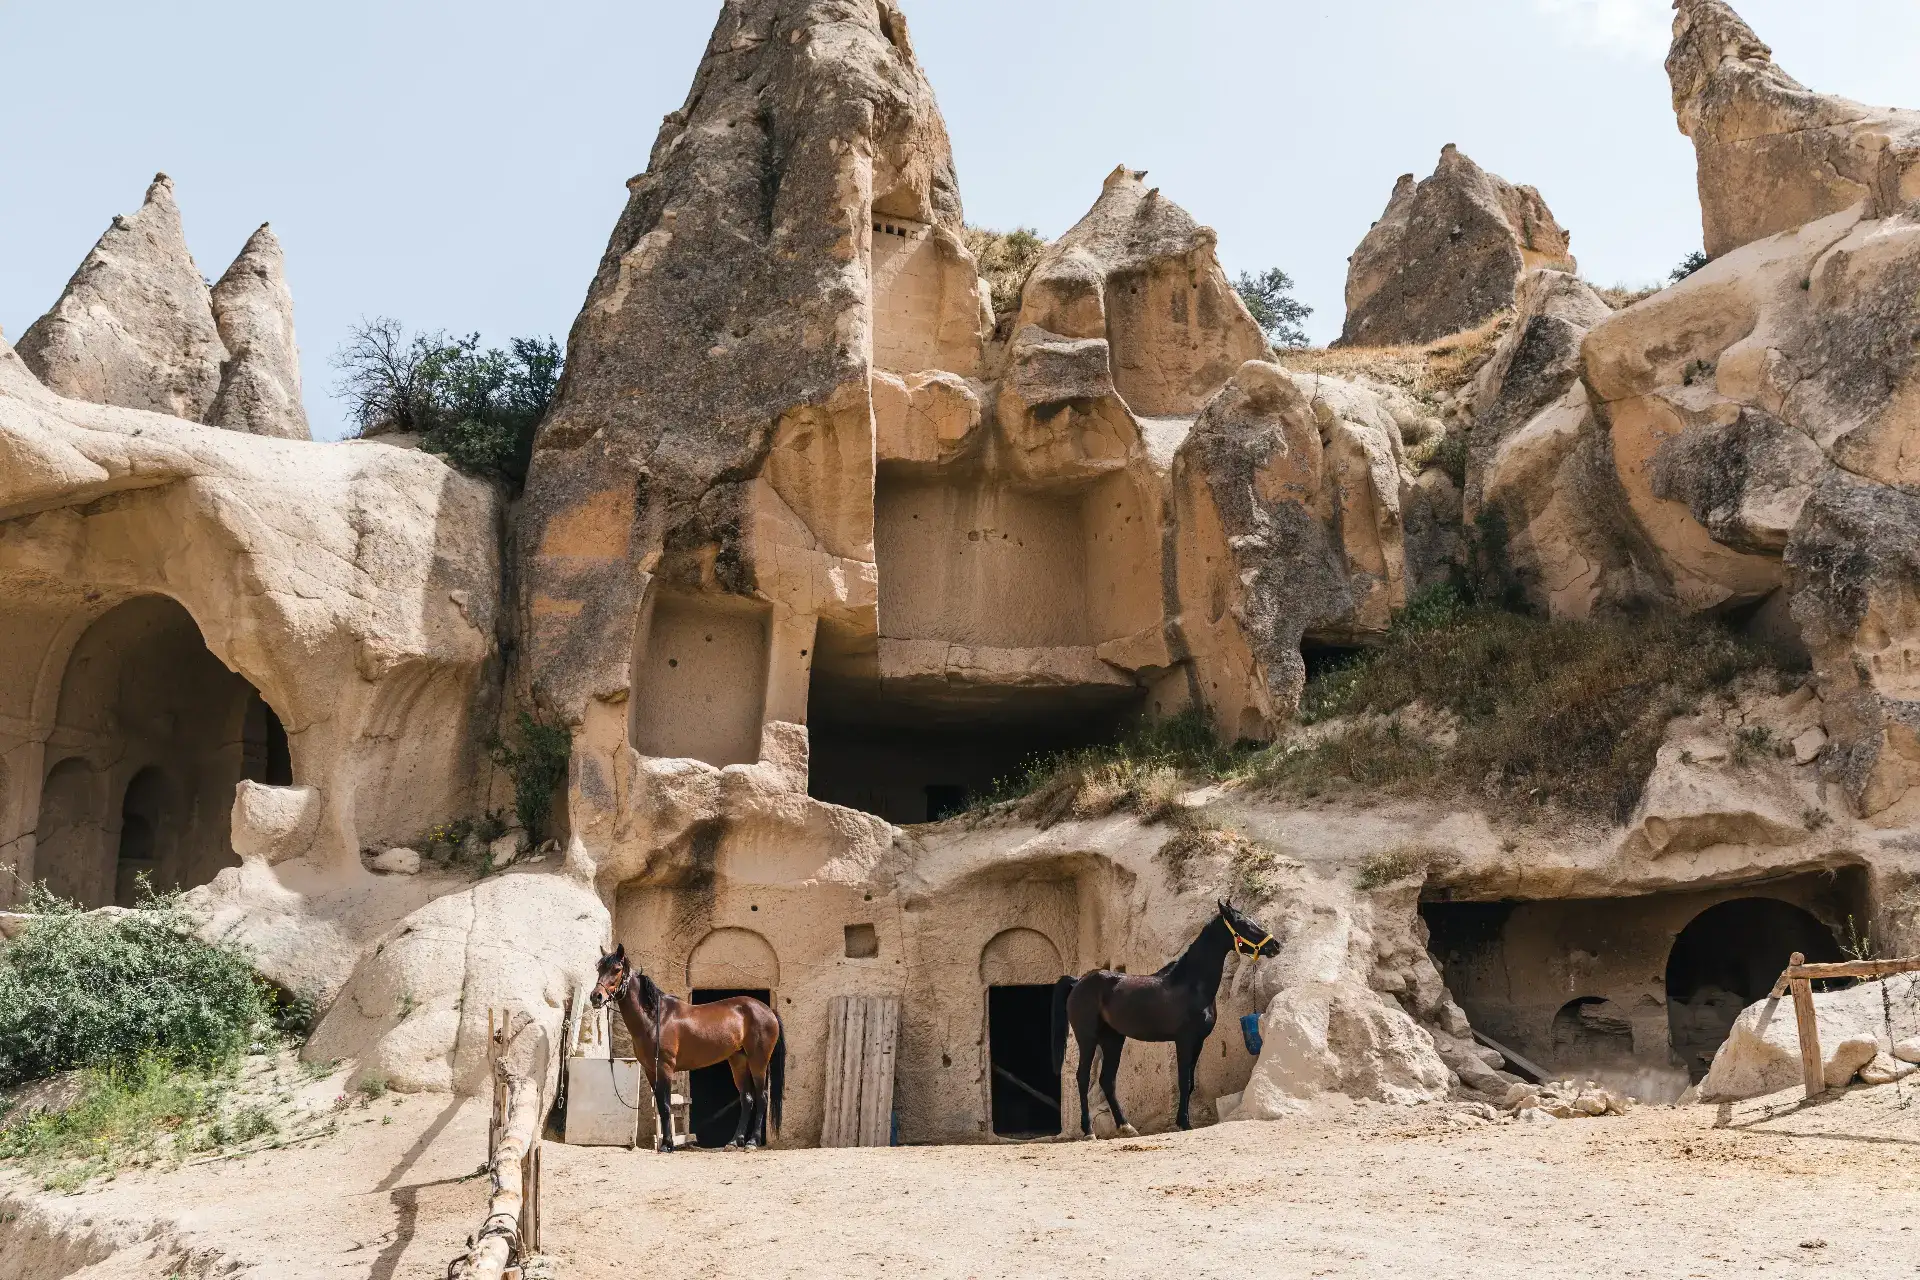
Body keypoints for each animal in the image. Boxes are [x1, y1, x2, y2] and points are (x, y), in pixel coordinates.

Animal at [591, 948, 787, 1159]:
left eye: (617, 969)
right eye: (599, 968)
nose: (596, 997)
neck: (656, 1018)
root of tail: (769, 1010)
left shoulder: (665, 1067)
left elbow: (666, 1106)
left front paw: (667, 1145)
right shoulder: (650, 1070)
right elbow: (660, 1105)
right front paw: (667, 1143)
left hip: (758, 1061)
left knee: (762, 1097)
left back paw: (752, 1142)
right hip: (738, 1061)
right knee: (747, 1099)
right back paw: (734, 1142)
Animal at [1052, 905, 1274, 1136]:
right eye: (1244, 924)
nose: (1275, 945)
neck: (1191, 984)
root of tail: (1078, 982)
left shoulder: (1198, 1042)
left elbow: (1190, 1083)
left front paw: (1182, 1120)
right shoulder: (1184, 1040)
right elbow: (1184, 1080)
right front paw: (1184, 1123)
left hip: (1113, 1039)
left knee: (1107, 1081)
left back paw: (1126, 1126)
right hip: (1087, 1038)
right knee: (1083, 1077)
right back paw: (1088, 1130)